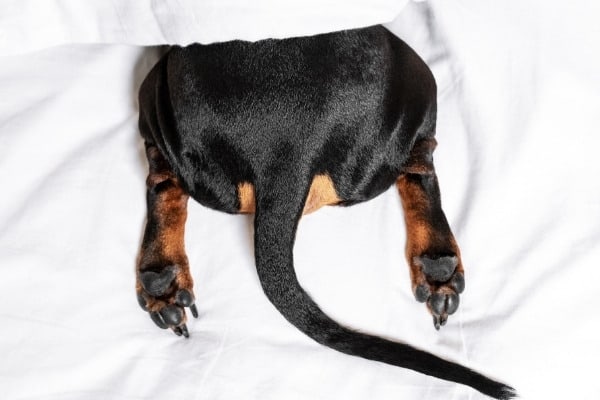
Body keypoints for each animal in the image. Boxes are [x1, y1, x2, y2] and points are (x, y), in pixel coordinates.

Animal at [136, 25, 516, 400]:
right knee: (421, 162)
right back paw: (438, 265)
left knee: (162, 175)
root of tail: (284, 148)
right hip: (417, 79)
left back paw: (161, 280)